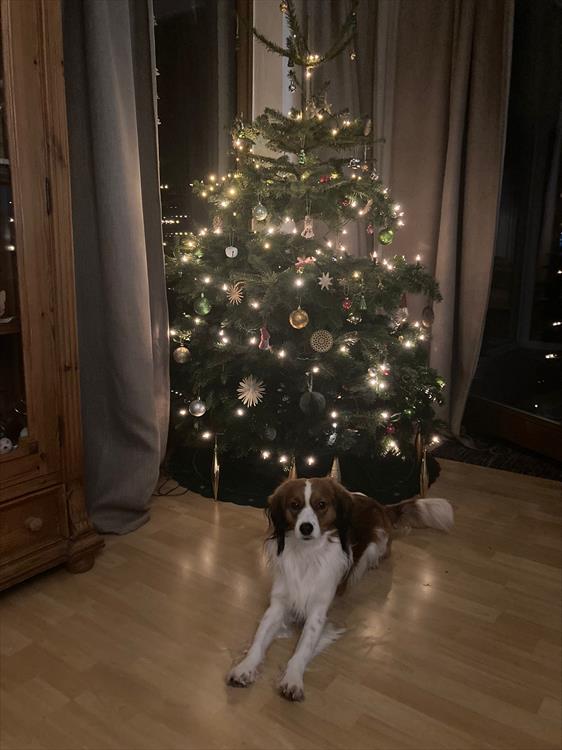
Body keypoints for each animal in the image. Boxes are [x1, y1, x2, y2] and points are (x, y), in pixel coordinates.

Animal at [227, 477, 453, 701]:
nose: (306, 528)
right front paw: (245, 667)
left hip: (378, 543)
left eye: (321, 505)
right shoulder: (278, 605)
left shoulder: (317, 613)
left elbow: (302, 649)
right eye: (295, 505)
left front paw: (292, 679)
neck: (307, 555)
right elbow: (258, 640)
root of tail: (378, 504)